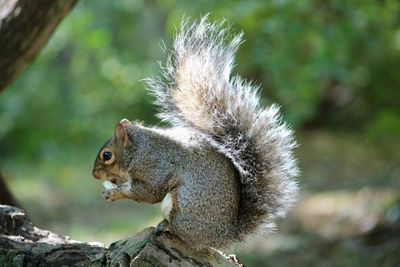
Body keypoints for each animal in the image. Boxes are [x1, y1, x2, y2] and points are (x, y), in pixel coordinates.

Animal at [92, 16, 298, 251]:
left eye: (107, 155)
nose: (94, 174)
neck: (139, 149)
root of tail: (222, 236)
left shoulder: (154, 168)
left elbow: (148, 192)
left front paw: (113, 192)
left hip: (183, 203)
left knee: (183, 234)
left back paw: (167, 227)